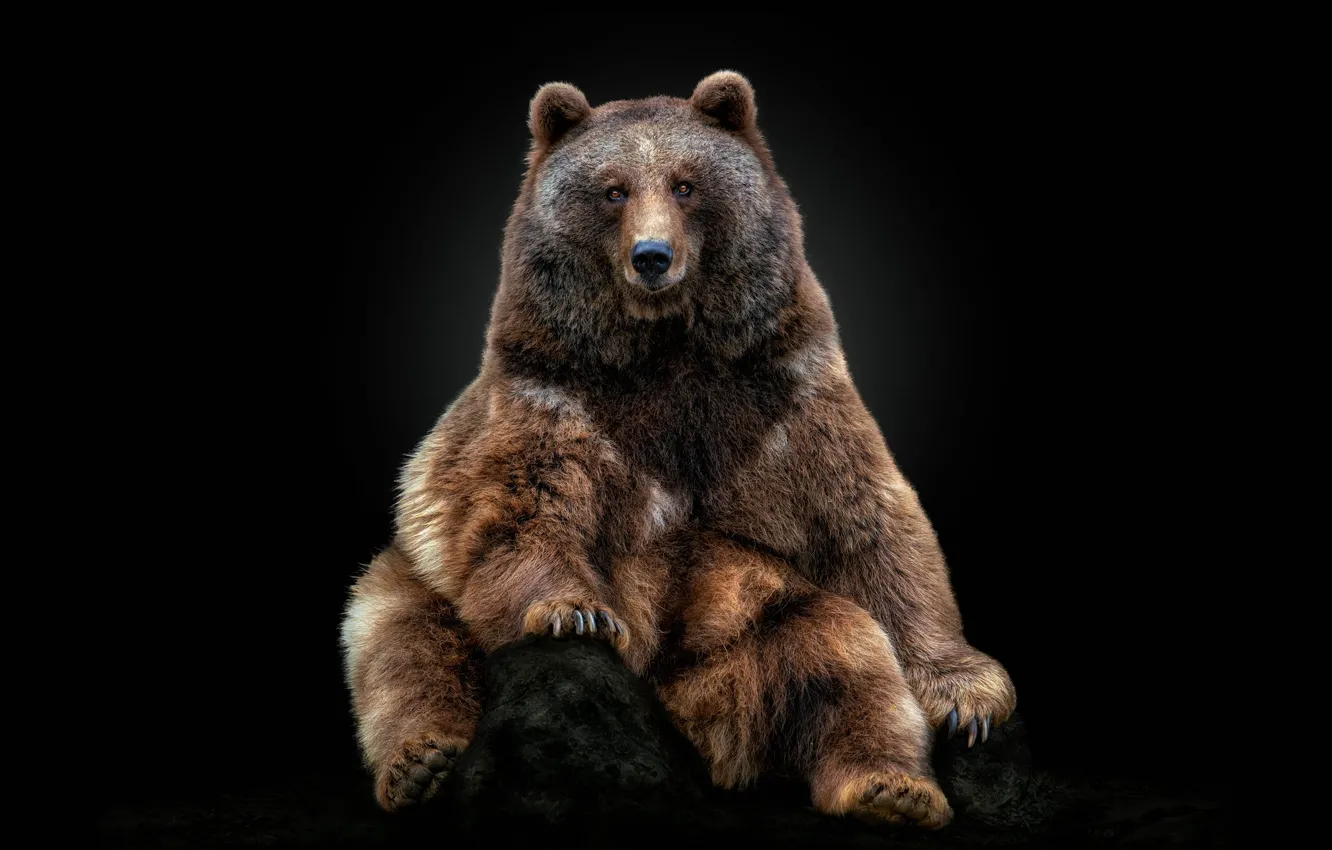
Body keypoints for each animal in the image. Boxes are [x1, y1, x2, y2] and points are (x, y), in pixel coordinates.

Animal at [339, 70, 1016, 829]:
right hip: (410, 576)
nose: (652, 257)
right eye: (613, 190)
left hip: (758, 632)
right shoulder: (553, 392)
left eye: (686, 184)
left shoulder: (785, 394)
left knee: (840, 651)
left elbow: (870, 524)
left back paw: (891, 788)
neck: (666, 351)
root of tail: (704, 729)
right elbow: (524, 508)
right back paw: (420, 762)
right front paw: (576, 612)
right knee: (404, 642)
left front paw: (966, 696)